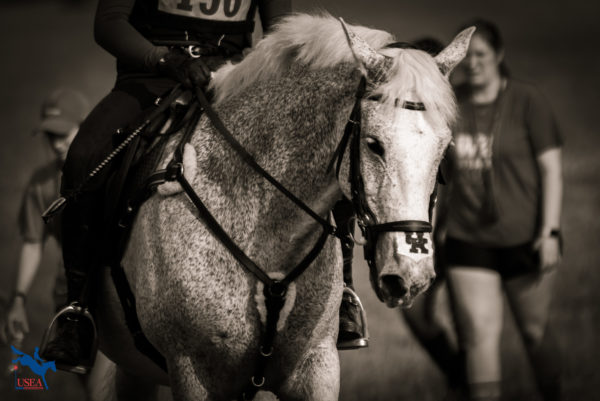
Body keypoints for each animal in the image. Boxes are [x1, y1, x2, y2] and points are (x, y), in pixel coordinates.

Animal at [94, 12, 474, 400]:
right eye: (373, 144)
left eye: (444, 149)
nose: (410, 276)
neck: (272, 238)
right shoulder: (191, 370)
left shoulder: (317, 366)